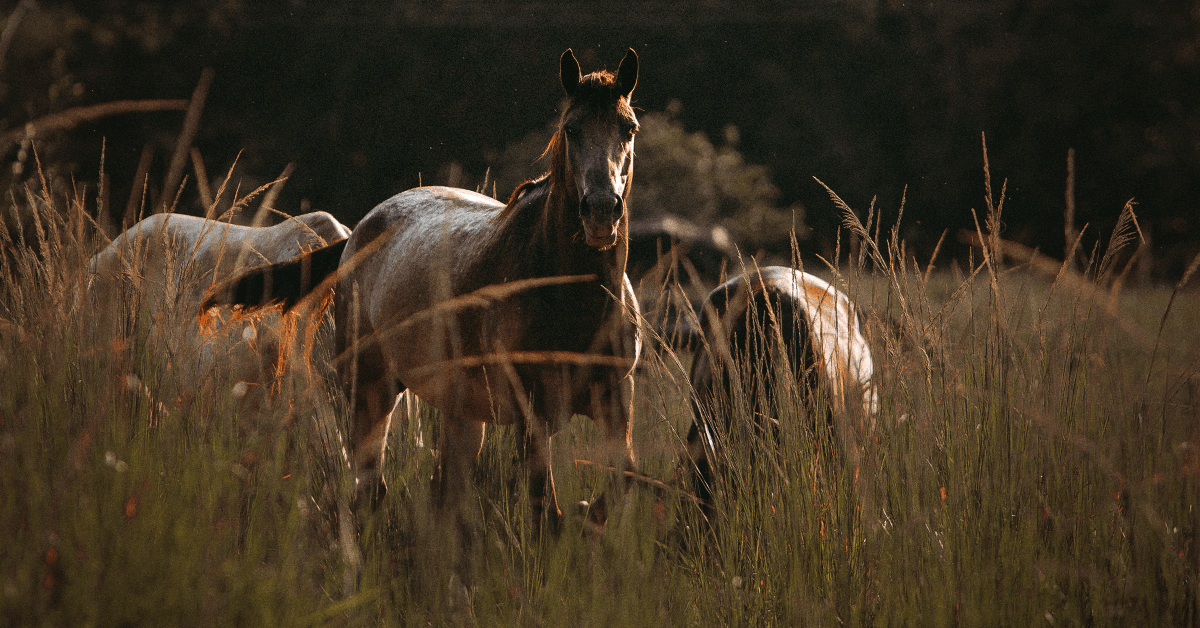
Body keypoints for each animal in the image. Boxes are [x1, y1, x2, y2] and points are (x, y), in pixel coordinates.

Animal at [201, 50, 643, 530]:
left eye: (629, 128)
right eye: (571, 128)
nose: (601, 211)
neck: (567, 297)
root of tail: (357, 232)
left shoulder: (615, 399)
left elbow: (621, 482)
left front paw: (589, 517)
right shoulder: (532, 412)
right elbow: (546, 509)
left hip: (460, 412)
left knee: (441, 495)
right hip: (371, 391)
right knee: (370, 488)